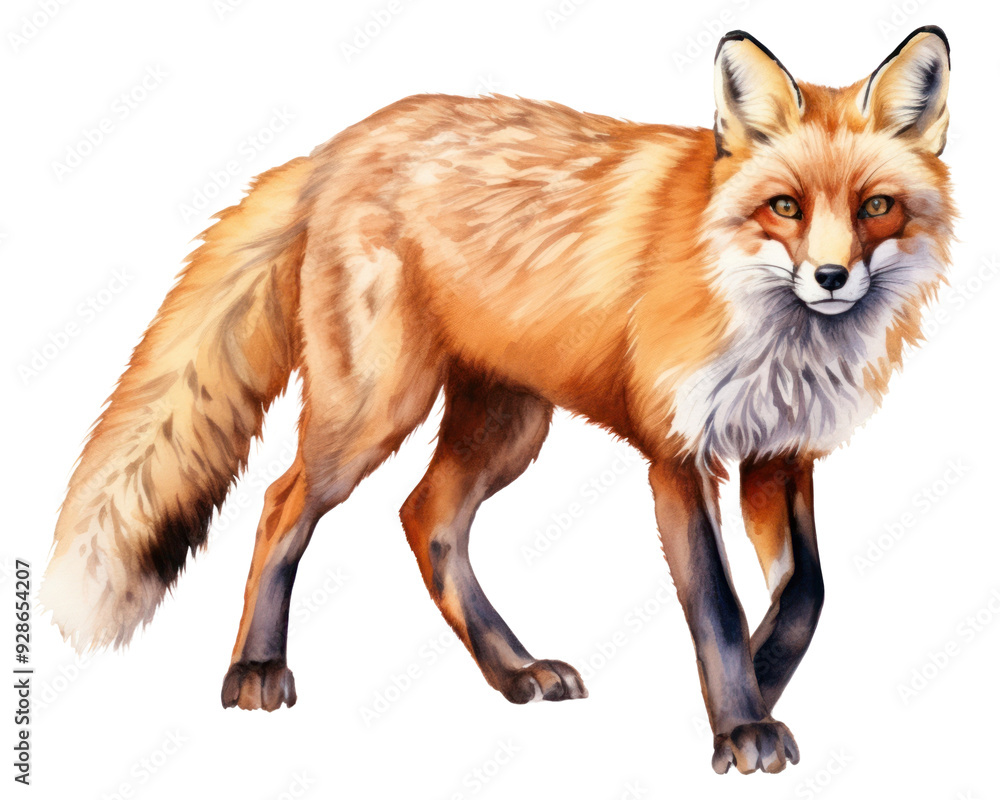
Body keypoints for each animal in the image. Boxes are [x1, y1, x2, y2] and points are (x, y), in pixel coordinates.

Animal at [41, 26, 954, 774]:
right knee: (282, 502)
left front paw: (757, 684)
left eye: (876, 207)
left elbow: (804, 598)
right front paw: (740, 722)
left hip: (508, 427)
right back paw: (256, 668)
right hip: (376, 408)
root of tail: (339, 143)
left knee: (427, 518)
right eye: (785, 207)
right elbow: (720, 607)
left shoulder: (780, 453)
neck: (775, 334)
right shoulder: (677, 454)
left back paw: (513, 670)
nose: (830, 278)